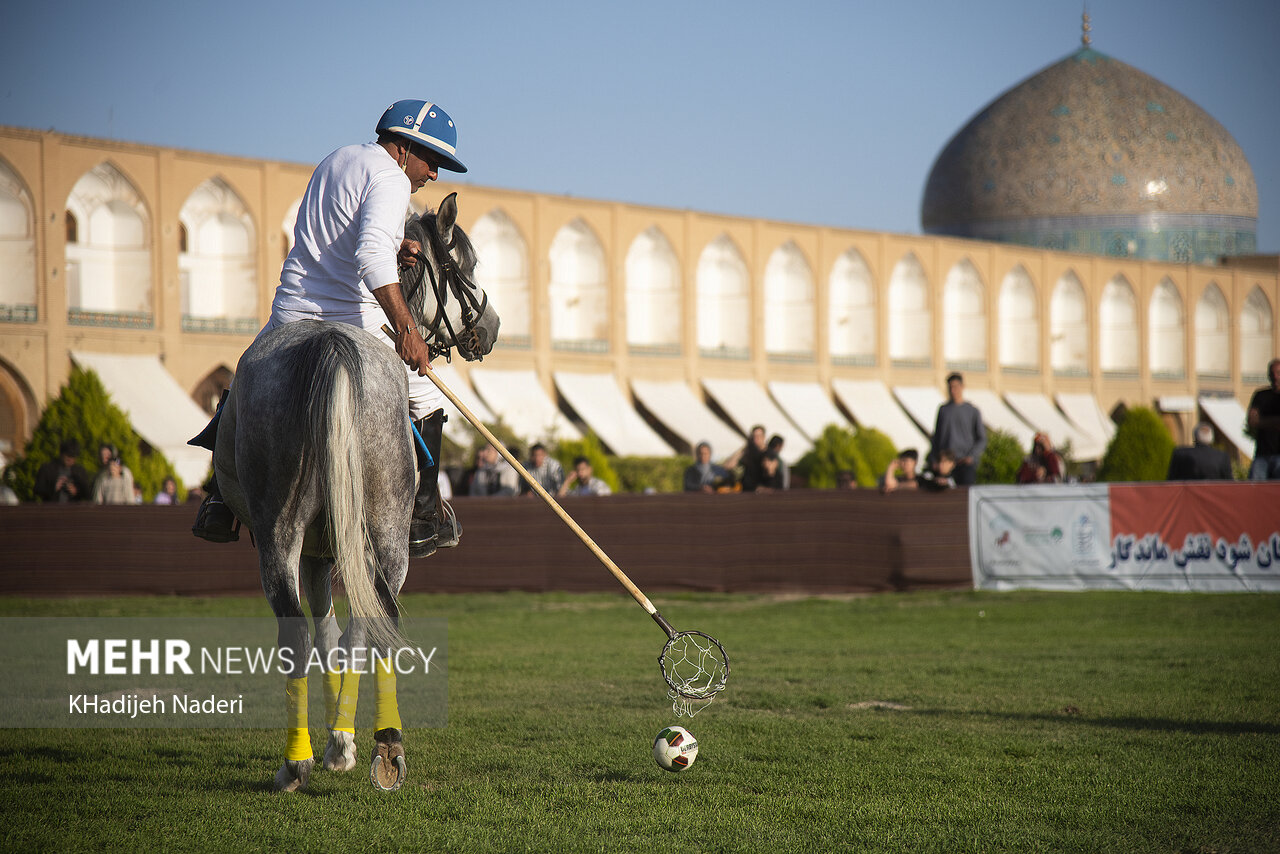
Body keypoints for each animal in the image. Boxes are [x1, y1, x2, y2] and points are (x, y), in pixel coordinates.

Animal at [215, 195, 494, 793]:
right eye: (467, 264)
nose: (491, 328)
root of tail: (334, 343)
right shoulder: (328, 547)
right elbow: (336, 632)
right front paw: (340, 738)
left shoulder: (318, 549)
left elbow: (324, 632)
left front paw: (336, 741)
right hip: (379, 529)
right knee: (365, 626)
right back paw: (376, 749)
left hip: (283, 530)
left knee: (313, 633)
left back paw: (306, 760)